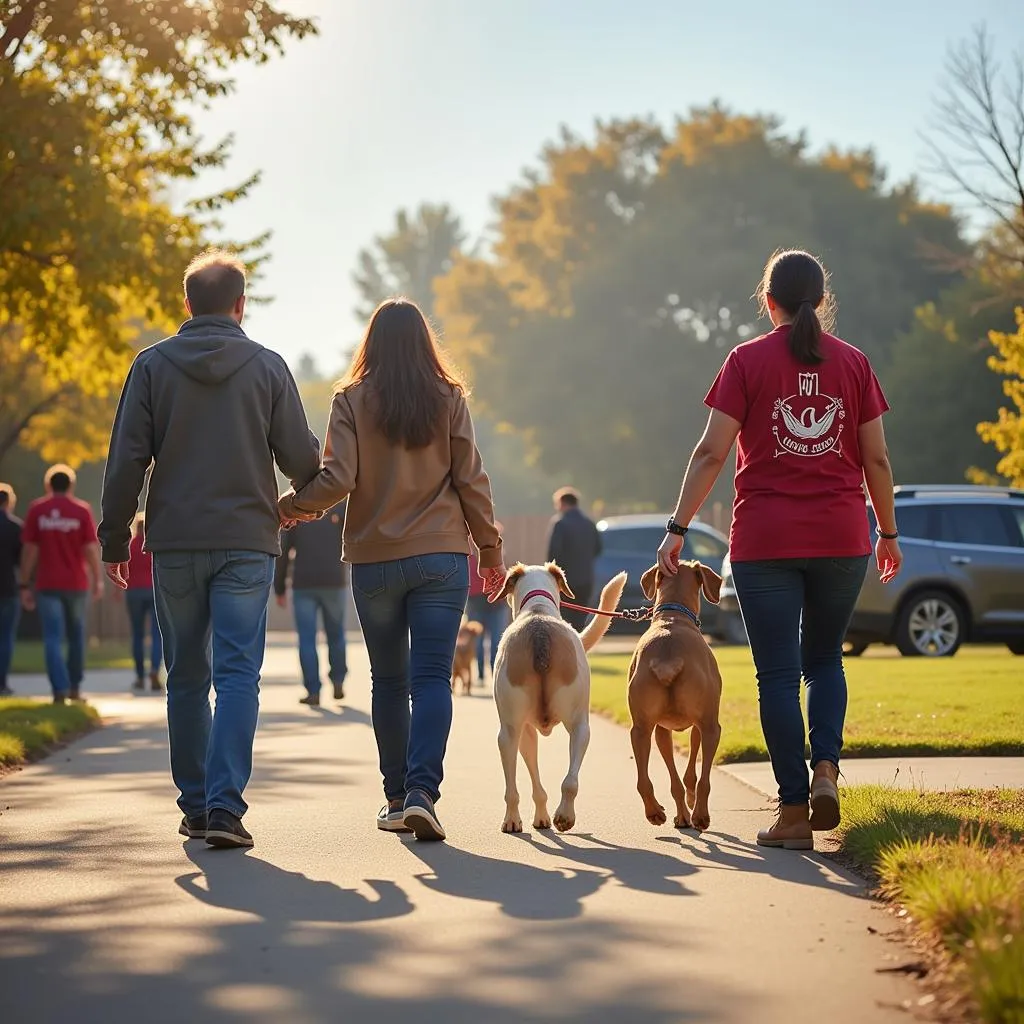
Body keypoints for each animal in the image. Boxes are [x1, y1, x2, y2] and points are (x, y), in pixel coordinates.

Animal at [491, 565, 626, 835]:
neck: (538, 609)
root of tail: (540, 633)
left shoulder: (525, 731)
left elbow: (535, 777)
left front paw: (540, 815)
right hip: (579, 726)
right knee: (570, 781)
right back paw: (563, 815)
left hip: (510, 732)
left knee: (513, 788)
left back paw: (513, 819)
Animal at [626, 561, 724, 831]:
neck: (672, 616)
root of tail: (667, 656)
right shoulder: (699, 726)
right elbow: (691, 774)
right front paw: (689, 806)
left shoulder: (662, 730)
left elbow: (677, 781)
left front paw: (682, 815)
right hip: (711, 727)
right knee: (704, 780)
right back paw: (700, 815)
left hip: (640, 730)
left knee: (643, 780)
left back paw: (655, 812)